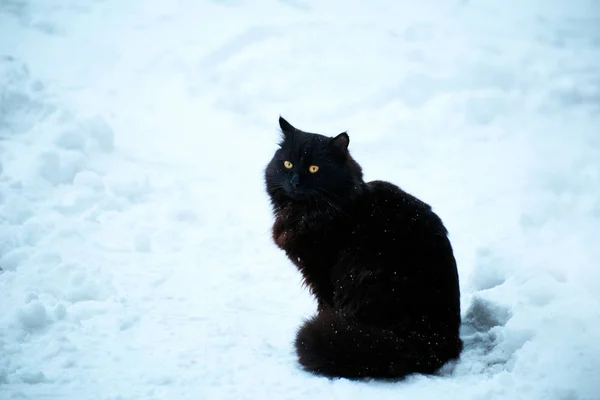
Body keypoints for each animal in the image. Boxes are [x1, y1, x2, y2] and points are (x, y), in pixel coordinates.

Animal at [264, 117, 464, 380]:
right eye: (287, 164)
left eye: (314, 169)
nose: (294, 182)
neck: (307, 213)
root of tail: (432, 339)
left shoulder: (321, 275)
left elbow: (324, 307)